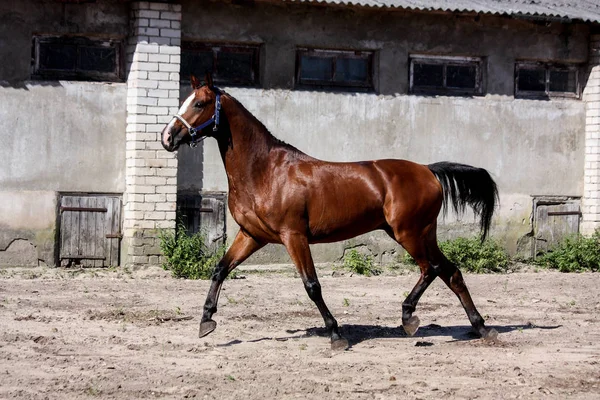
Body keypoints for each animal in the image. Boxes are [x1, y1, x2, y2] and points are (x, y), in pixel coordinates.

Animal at [162, 75, 500, 350]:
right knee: (450, 272)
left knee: (429, 269)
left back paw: (409, 318)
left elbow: (312, 285)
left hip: (409, 233)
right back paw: (481, 327)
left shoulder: (294, 236)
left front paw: (336, 335)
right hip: (423, 233)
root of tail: (428, 171)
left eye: (200, 103)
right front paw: (206, 321)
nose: (168, 137)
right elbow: (220, 269)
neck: (265, 171)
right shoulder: (252, 236)